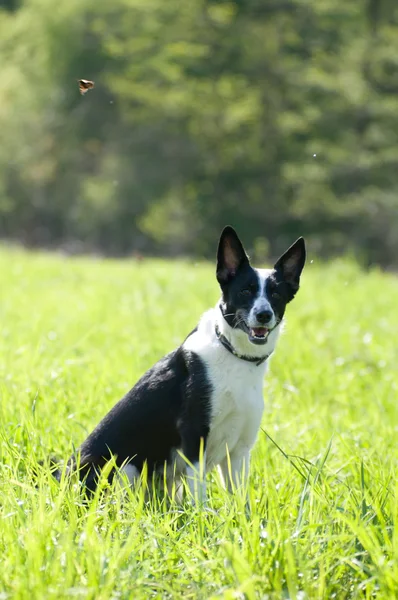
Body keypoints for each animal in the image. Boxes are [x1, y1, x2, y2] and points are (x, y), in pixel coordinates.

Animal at [49, 226, 304, 502]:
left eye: (276, 294)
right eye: (245, 291)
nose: (264, 315)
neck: (234, 355)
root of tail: (63, 475)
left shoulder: (239, 451)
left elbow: (239, 501)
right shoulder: (195, 440)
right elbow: (201, 499)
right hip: (123, 467)